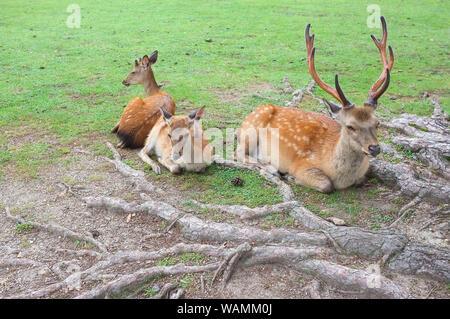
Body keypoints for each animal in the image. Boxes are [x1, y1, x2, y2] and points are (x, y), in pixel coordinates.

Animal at [237, 16, 396, 192]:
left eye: (377, 123)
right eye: (350, 126)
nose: (374, 148)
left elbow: (361, 180)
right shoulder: (301, 165)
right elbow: (326, 185)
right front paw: (291, 177)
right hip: (251, 129)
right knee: (238, 153)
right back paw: (273, 169)